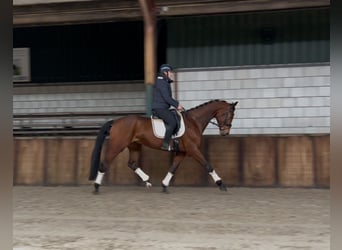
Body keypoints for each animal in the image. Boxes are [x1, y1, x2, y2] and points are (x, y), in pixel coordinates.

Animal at [88, 99, 238, 193]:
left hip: (134, 146)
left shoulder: (182, 152)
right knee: (104, 164)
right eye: (229, 114)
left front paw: (165, 185)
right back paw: (96, 187)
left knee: (132, 163)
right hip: (117, 146)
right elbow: (208, 165)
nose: (225, 133)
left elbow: (173, 168)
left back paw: (147, 180)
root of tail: (115, 121)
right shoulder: (193, 149)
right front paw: (221, 184)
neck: (194, 122)